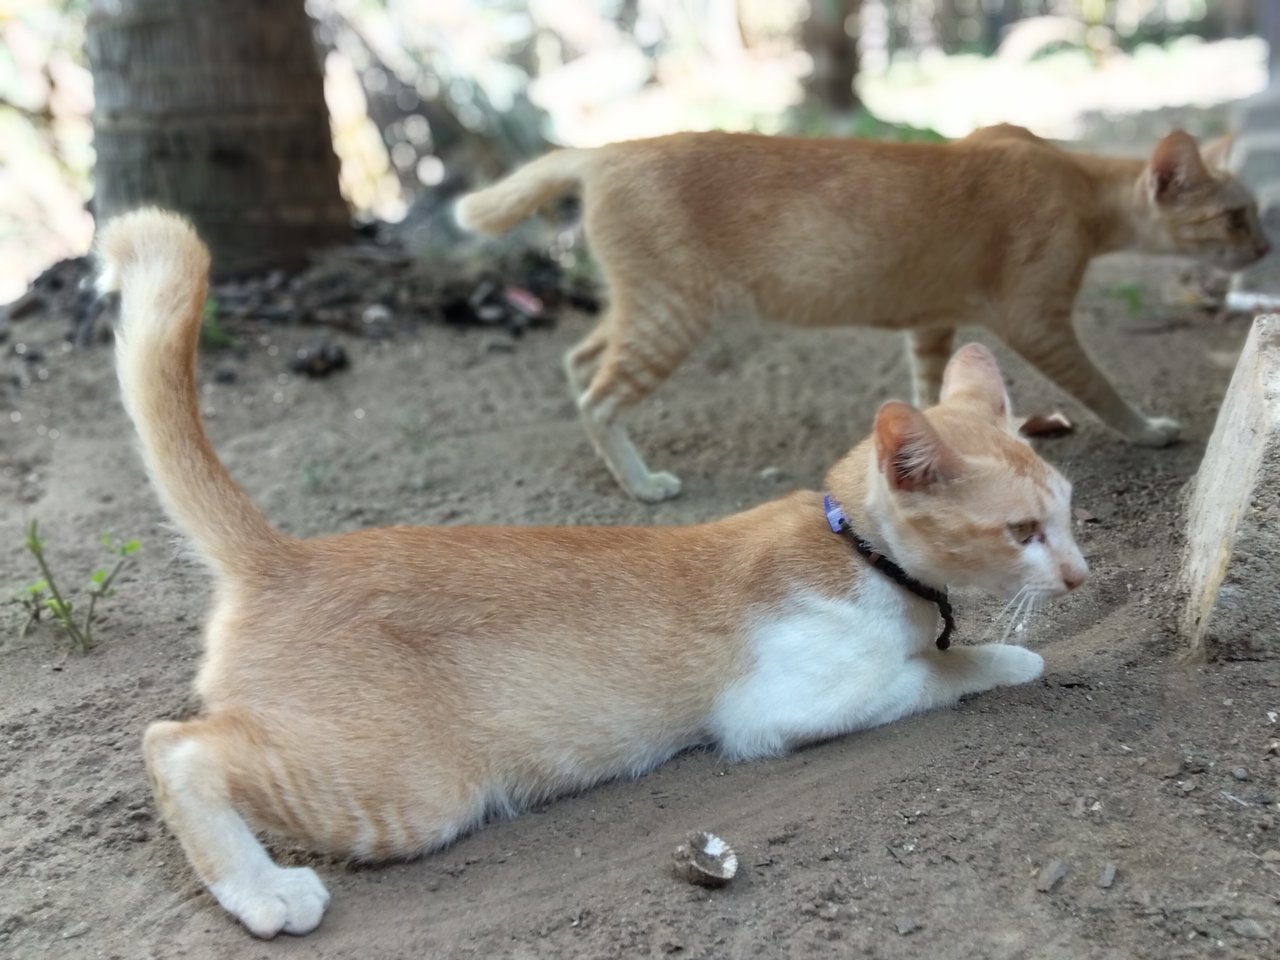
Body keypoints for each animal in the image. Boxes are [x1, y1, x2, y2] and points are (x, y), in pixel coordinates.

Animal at [99, 209, 1085, 942]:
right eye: (1022, 531)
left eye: (1071, 508)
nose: (1079, 572)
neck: (856, 548)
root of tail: (285, 554)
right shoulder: (780, 711)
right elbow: (939, 672)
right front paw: (1008, 659)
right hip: (404, 787)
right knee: (174, 745)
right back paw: (264, 890)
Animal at [455, 126, 1264, 504]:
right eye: (1234, 217)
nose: (1266, 246)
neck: (1078, 181)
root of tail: (602, 150)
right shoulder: (1038, 323)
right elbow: (1101, 387)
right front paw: (1149, 429)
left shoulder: (931, 323)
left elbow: (929, 396)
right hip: (671, 316)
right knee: (599, 398)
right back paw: (641, 483)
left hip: (644, 308)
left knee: (579, 360)